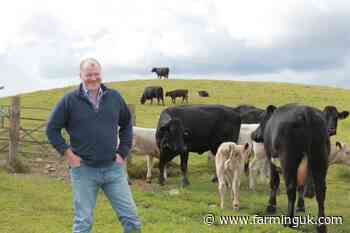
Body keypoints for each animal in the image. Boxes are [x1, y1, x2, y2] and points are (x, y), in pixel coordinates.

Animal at [250, 104, 330, 233]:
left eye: (262, 119)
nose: (253, 134)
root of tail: (306, 113)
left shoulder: (270, 158)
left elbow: (274, 182)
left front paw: (271, 207)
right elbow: (300, 186)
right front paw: (301, 207)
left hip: (288, 160)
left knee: (291, 188)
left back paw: (289, 222)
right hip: (320, 158)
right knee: (320, 191)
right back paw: (321, 226)